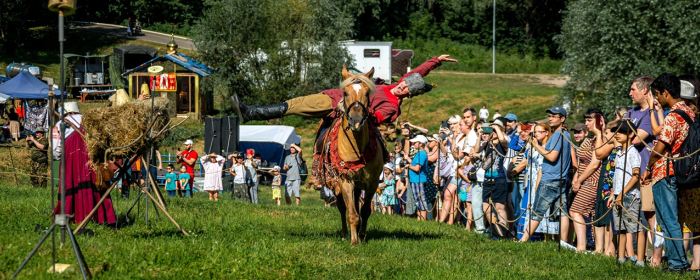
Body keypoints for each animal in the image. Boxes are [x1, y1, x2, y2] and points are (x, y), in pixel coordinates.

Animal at [330, 65, 388, 245]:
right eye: (345, 93)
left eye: (367, 93)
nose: (356, 121)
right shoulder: (346, 180)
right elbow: (352, 214)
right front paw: (354, 241)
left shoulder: (372, 182)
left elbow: (365, 211)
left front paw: (361, 236)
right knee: (343, 208)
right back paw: (344, 233)